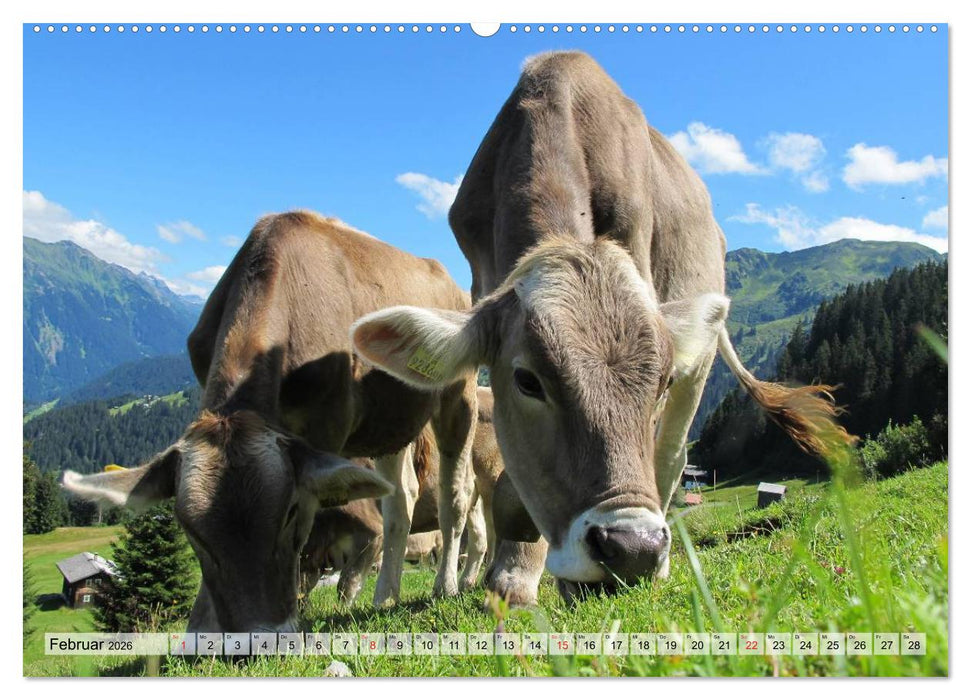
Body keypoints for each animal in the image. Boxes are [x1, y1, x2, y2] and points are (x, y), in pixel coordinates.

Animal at [63, 211, 479, 630]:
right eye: (190, 530)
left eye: (290, 512)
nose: (258, 633)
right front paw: (202, 626)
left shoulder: (326, 429)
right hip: (389, 424)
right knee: (401, 498)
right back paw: (386, 596)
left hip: (459, 395)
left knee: (455, 495)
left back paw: (446, 585)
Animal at [351, 52, 852, 605]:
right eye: (527, 381)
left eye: (661, 381)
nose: (633, 548)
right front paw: (513, 575)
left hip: (699, 365)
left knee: (672, 456)